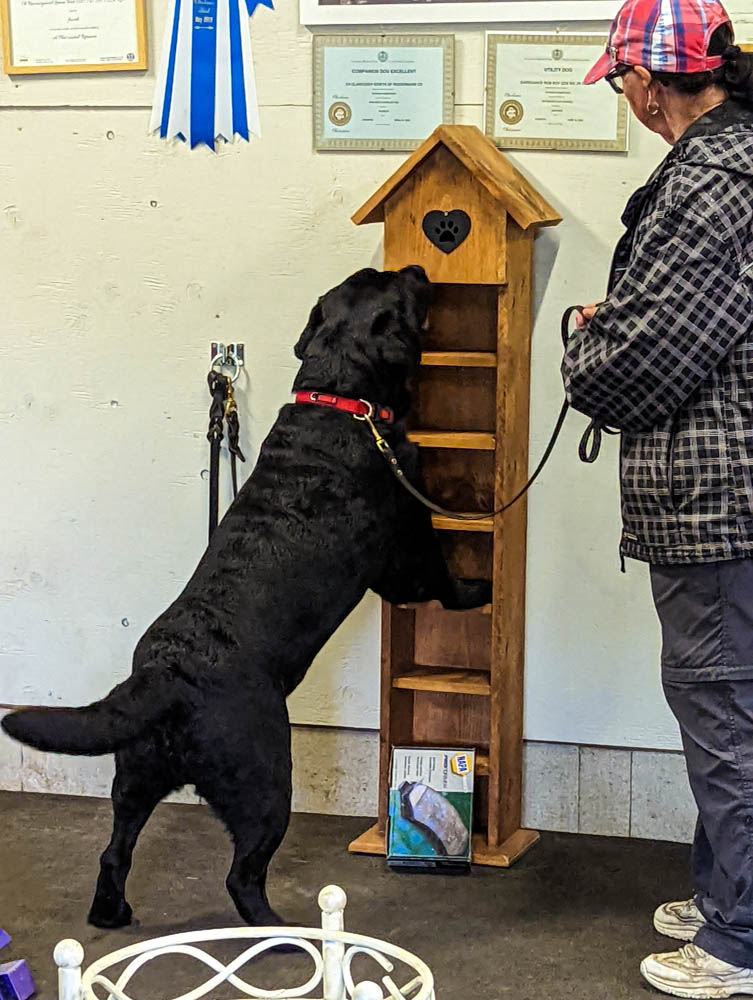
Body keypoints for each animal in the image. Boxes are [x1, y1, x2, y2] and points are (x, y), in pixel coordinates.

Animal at [2, 265, 492, 929]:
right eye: (397, 284)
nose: (419, 269)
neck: (340, 397)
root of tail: (167, 673)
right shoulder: (407, 538)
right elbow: (439, 579)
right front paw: (475, 589)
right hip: (266, 778)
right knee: (241, 875)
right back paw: (285, 933)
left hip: (135, 773)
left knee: (114, 850)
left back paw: (112, 912)